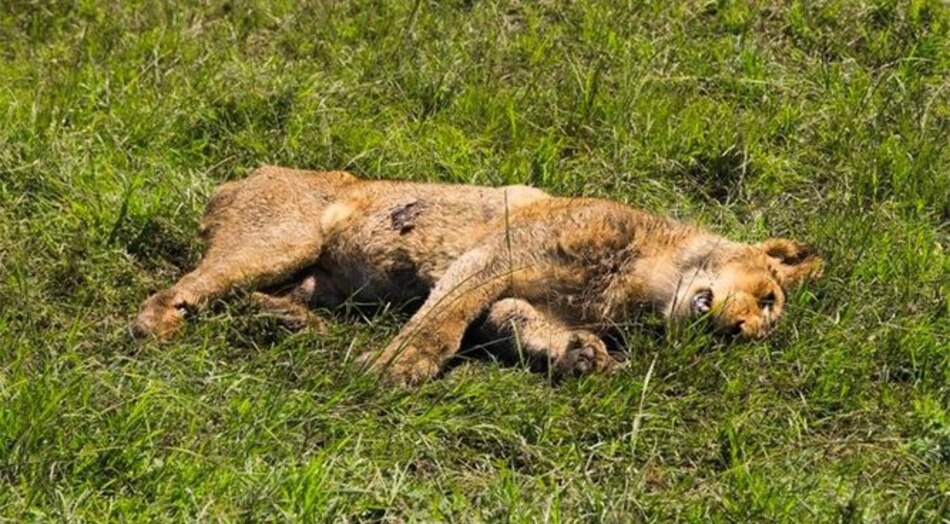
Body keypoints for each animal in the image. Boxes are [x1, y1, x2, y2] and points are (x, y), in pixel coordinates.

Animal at [134, 166, 824, 386]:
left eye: (767, 317)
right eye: (767, 297)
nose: (740, 330)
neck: (640, 283)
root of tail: (239, 178)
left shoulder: (518, 295)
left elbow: (515, 320)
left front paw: (580, 356)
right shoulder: (499, 251)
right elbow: (440, 319)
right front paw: (395, 369)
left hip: (315, 276)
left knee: (251, 297)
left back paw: (287, 322)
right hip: (282, 238)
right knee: (187, 286)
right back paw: (157, 325)